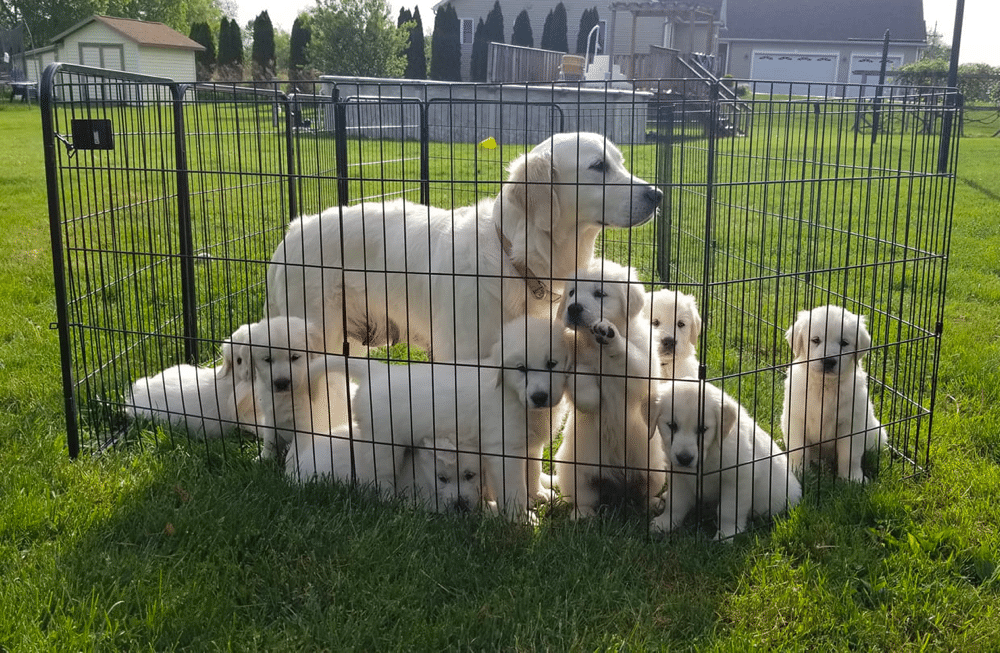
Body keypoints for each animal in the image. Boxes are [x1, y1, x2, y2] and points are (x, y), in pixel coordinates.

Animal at [248, 314, 326, 458]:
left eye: (295, 357)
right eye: (267, 359)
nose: (281, 383)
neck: (286, 397)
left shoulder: (304, 426)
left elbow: (293, 455)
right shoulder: (270, 418)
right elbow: (269, 441)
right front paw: (264, 458)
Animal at [556, 258, 664, 516]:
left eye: (600, 293)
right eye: (572, 292)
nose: (573, 308)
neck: (596, 349)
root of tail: (617, 487)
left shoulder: (644, 367)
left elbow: (630, 358)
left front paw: (609, 334)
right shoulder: (572, 359)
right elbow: (579, 376)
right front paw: (591, 397)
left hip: (655, 470)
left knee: (644, 492)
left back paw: (652, 504)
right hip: (573, 469)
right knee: (584, 496)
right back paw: (582, 513)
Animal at [652, 376, 800, 540]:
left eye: (703, 429)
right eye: (672, 425)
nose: (684, 459)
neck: (709, 454)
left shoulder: (738, 478)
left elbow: (728, 510)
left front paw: (726, 534)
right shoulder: (678, 475)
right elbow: (676, 503)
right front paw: (665, 523)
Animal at [784, 304, 888, 482]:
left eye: (844, 343)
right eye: (816, 340)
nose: (829, 361)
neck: (825, 386)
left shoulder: (851, 424)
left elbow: (849, 456)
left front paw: (853, 478)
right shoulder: (796, 419)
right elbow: (798, 450)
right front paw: (797, 472)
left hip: (877, 432)